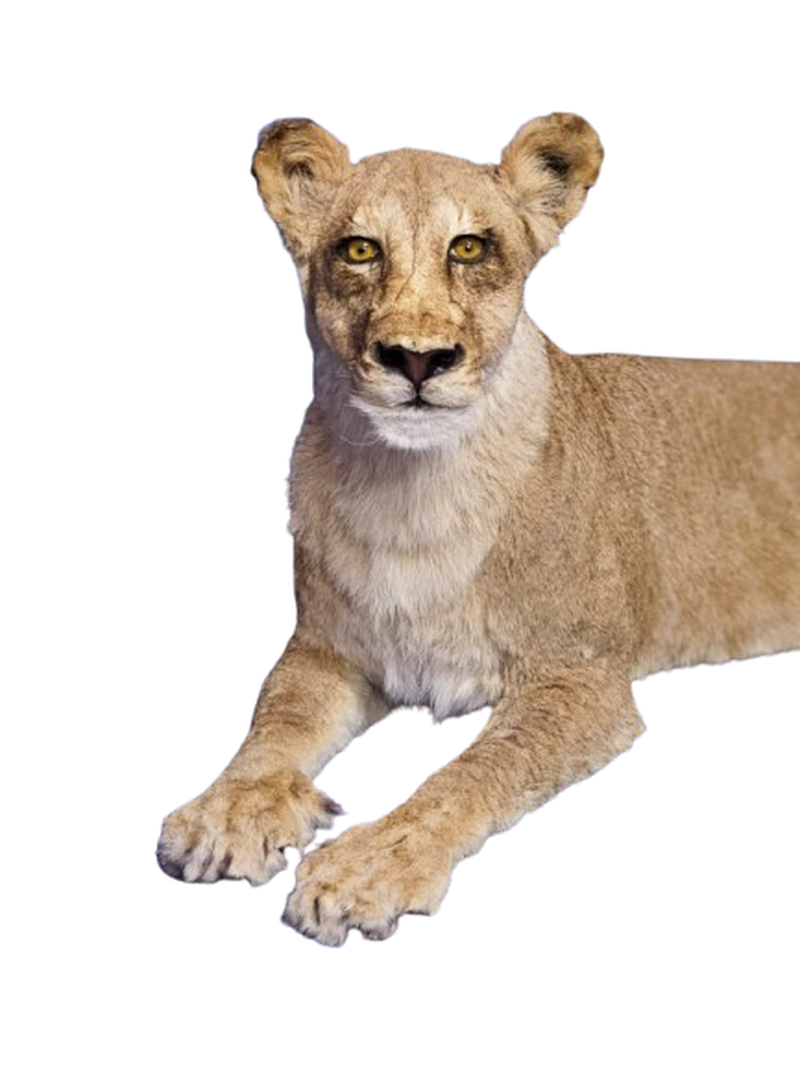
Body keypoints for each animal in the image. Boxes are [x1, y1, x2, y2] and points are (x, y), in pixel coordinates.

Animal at [157, 114, 800, 946]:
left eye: (468, 248)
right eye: (360, 249)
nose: (416, 359)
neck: (413, 487)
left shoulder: (582, 678)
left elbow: (474, 768)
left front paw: (367, 865)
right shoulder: (329, 649)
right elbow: (273, 722)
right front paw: (227, 810)